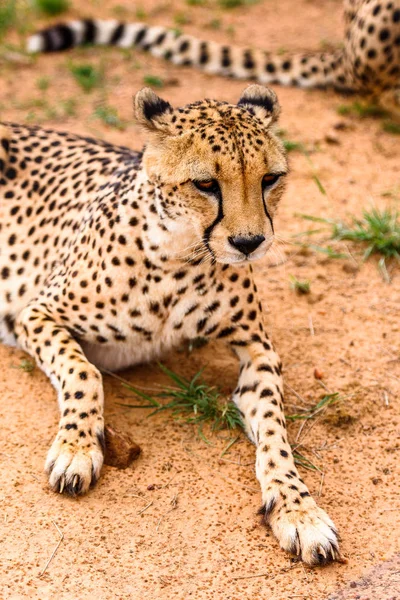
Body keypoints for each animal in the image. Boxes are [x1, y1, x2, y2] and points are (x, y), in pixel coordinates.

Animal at [0, 86, 340, 564]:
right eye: (206, 184)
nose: (250, 243)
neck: (180, 254)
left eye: (270, 179)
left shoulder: (258, 349)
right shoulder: (37, 311)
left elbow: (276, 432)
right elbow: (83, 372)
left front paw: (298, 510)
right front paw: (77, 447)